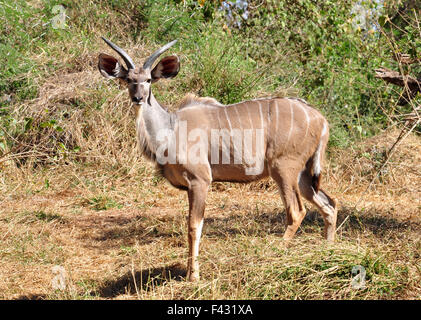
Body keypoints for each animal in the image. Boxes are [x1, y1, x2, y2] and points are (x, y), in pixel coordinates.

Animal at [98, 37, 338, 282]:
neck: (171, 128)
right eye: (128, 80)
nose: (138, 98)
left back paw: (275, 253)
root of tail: (321, 120)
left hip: (283, 169)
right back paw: (328, 251)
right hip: (302, 175)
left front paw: (193, 276)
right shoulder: (190, 186)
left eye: (148, 80)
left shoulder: (200, 180)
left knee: (297, 212)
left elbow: (194, 226)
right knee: (329, 204)